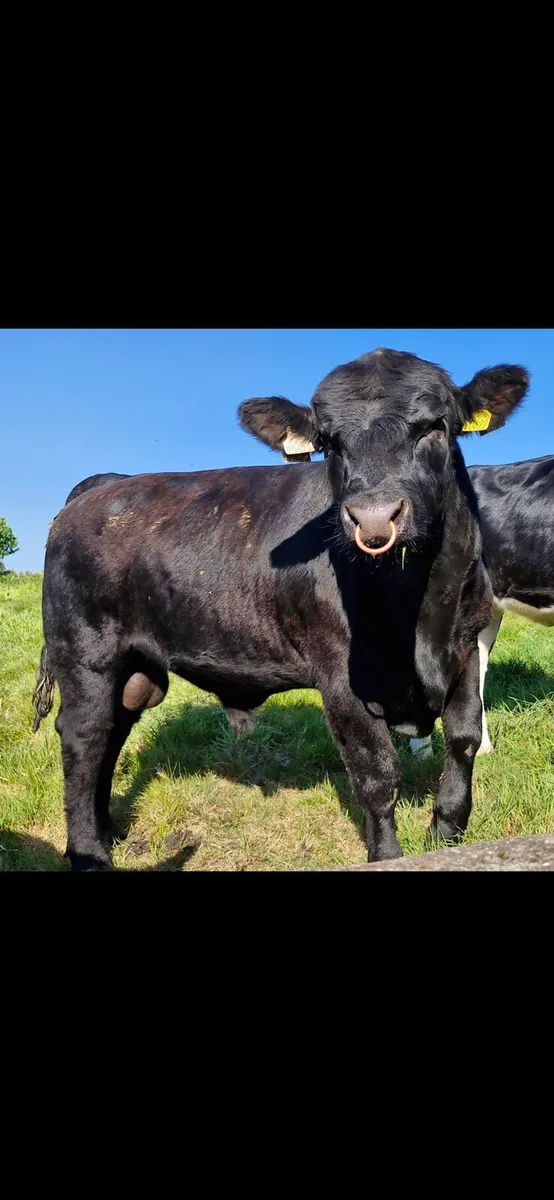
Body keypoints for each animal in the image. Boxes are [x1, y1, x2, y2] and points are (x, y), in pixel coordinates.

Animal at [32, 348, 529, 870]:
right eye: (328, 443)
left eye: (435, 426)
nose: (373, 519)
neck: (417, 610)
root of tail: (101, 486)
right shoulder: (341, 678)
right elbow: (377, 775)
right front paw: (389, 854)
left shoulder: (466, 645)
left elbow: (465, 738)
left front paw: (447, 832)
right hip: (85, 654)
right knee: (84, 737)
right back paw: (89, 852)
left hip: (134, 667)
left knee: (113, 730)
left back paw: (109, 830)